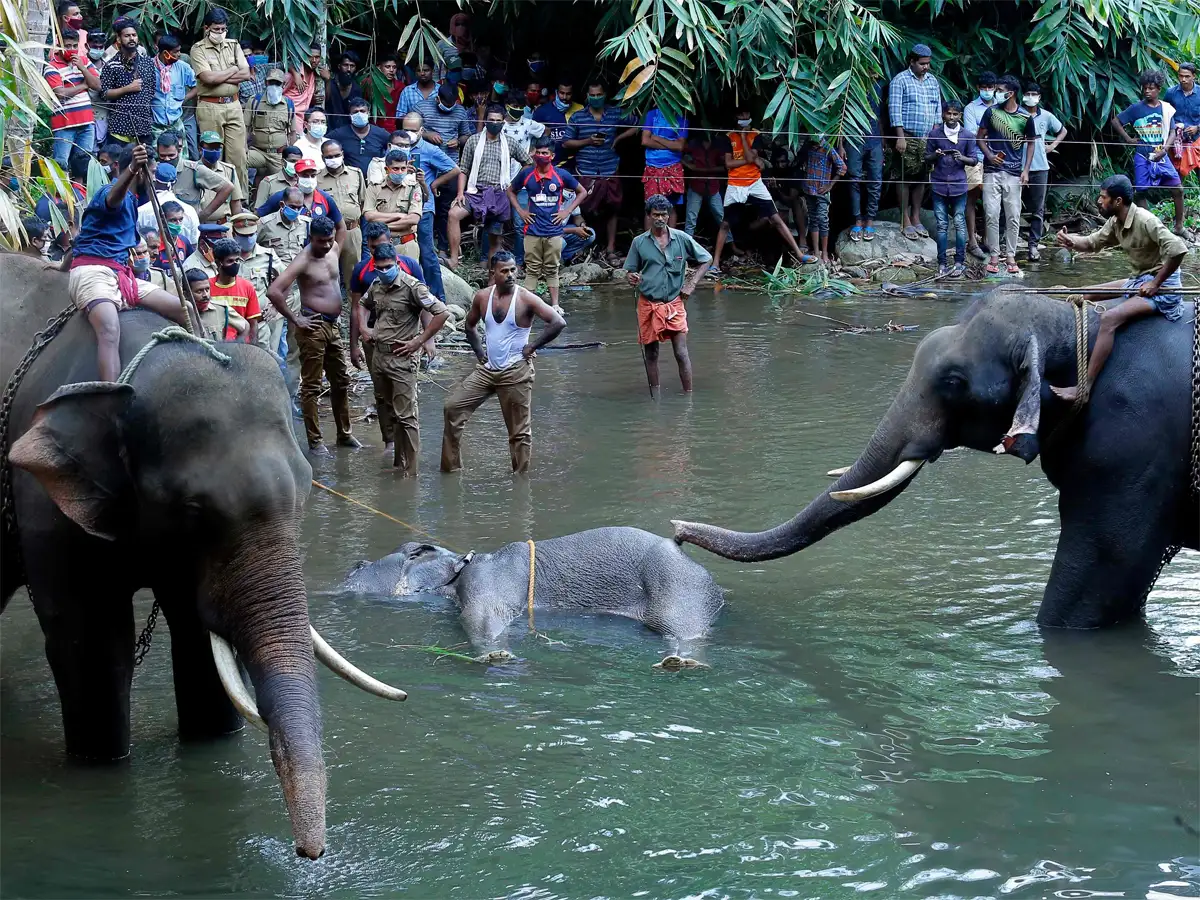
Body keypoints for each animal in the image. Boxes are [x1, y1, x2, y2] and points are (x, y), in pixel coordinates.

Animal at [0, 253, 402, 859]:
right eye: (191, 509)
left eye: (306, 491)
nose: (310, 854)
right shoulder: (43, 503)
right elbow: (91, 645)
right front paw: (102, 766)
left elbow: (197, 641)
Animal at [341, 526, 726, 666]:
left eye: (358, 567)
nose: (353, 565)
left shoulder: (485, 583)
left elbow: (482, 618)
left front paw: (497, 656)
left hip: (678, 589)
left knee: (683, 630)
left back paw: (680, 662)